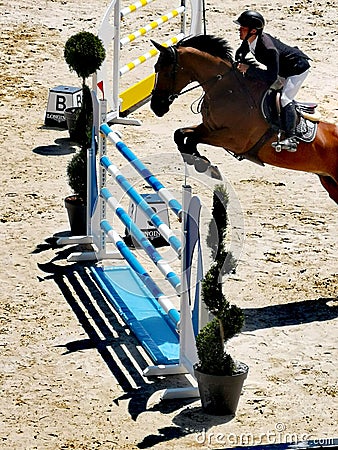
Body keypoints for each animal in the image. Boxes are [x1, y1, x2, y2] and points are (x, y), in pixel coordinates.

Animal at [151, 34, 338, 206]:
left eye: (166, 71)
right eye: (156, 68)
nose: (156, 107)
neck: (226, 90)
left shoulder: (234, 140)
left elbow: (192, 138)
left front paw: (205, 165)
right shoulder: (209, 127)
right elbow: (181, 134)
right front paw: (200, 161)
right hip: (329, 182)